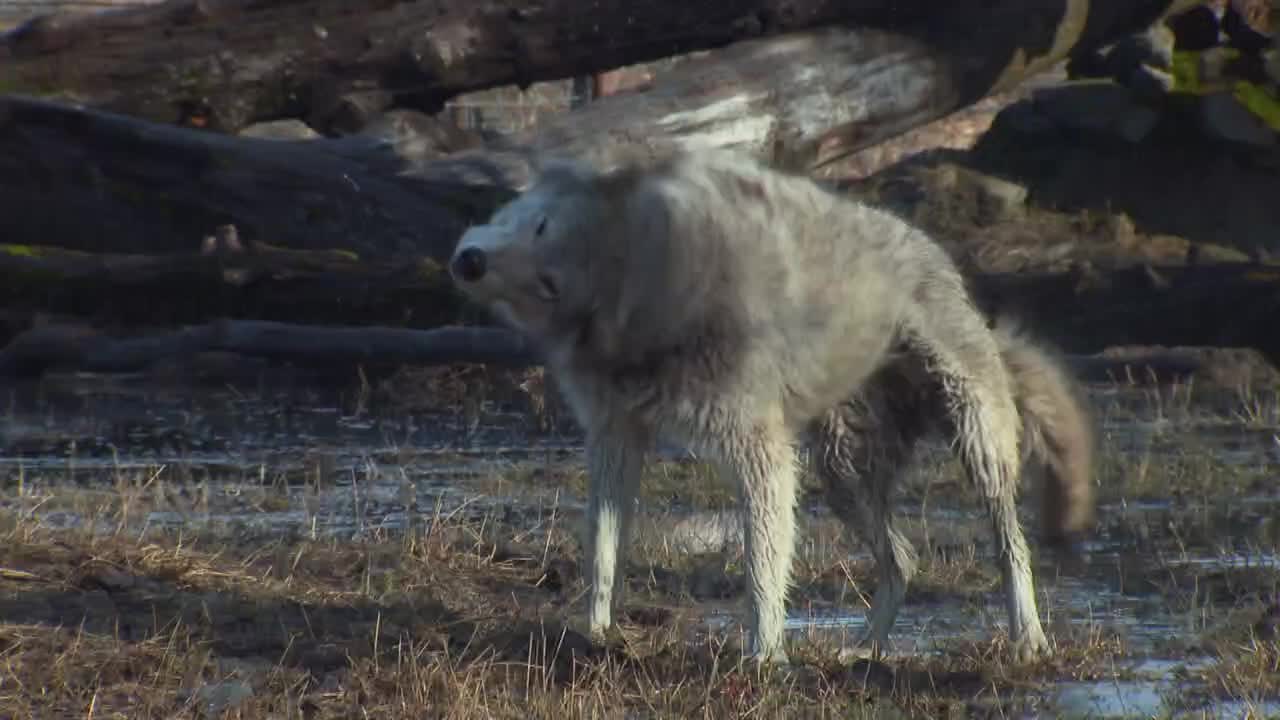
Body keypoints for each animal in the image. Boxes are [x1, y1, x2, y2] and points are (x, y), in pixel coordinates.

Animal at [445, 148, 1095, 666]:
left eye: (543, 237)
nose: (470, 263)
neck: (655, 285)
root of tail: (939, 256)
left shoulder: (759, 454)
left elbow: (761, 570)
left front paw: (763, 659)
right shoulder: (616, 436)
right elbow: (601, 555)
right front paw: (595, 635)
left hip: (972, 442)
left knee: (1010, 545)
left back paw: (1027, 638)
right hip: (841, 476)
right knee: (904, 560)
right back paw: (865, 650)